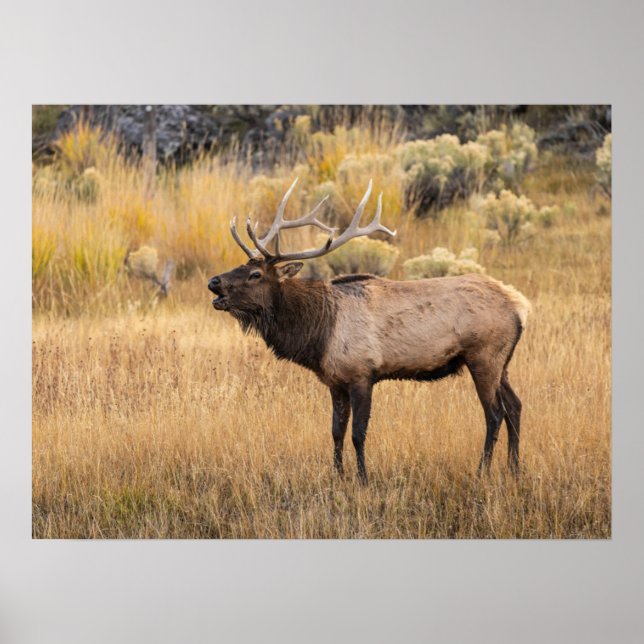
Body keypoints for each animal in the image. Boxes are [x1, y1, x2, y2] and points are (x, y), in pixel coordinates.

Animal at [208, 179, 530, 484]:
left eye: (255, 274)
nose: (213, 282)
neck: (318, 333)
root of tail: (520, 306)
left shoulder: (362, 374)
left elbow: (357, 433)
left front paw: (363, 478)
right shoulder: (335, 381)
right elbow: (336, 431)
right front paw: (337, 475)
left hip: (484, 356)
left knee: (495, 413)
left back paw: (482, 472)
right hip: (502, 362)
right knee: (515, 406)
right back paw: (515, 470)